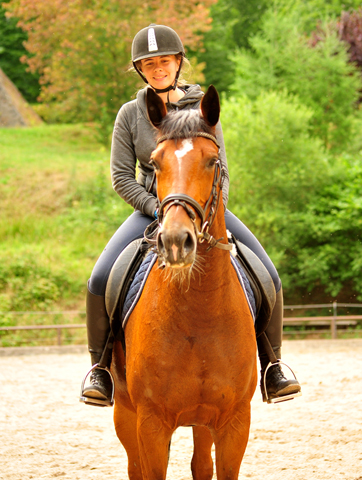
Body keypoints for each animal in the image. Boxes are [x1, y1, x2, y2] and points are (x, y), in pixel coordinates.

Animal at [111, 86, 256, 480]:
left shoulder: (234, 422)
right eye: (156, 162)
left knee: (200, 465)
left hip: (201, 421)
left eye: (212, 161)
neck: (199, 314)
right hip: (125, 414)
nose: (176, 241)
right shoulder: (151, 424)